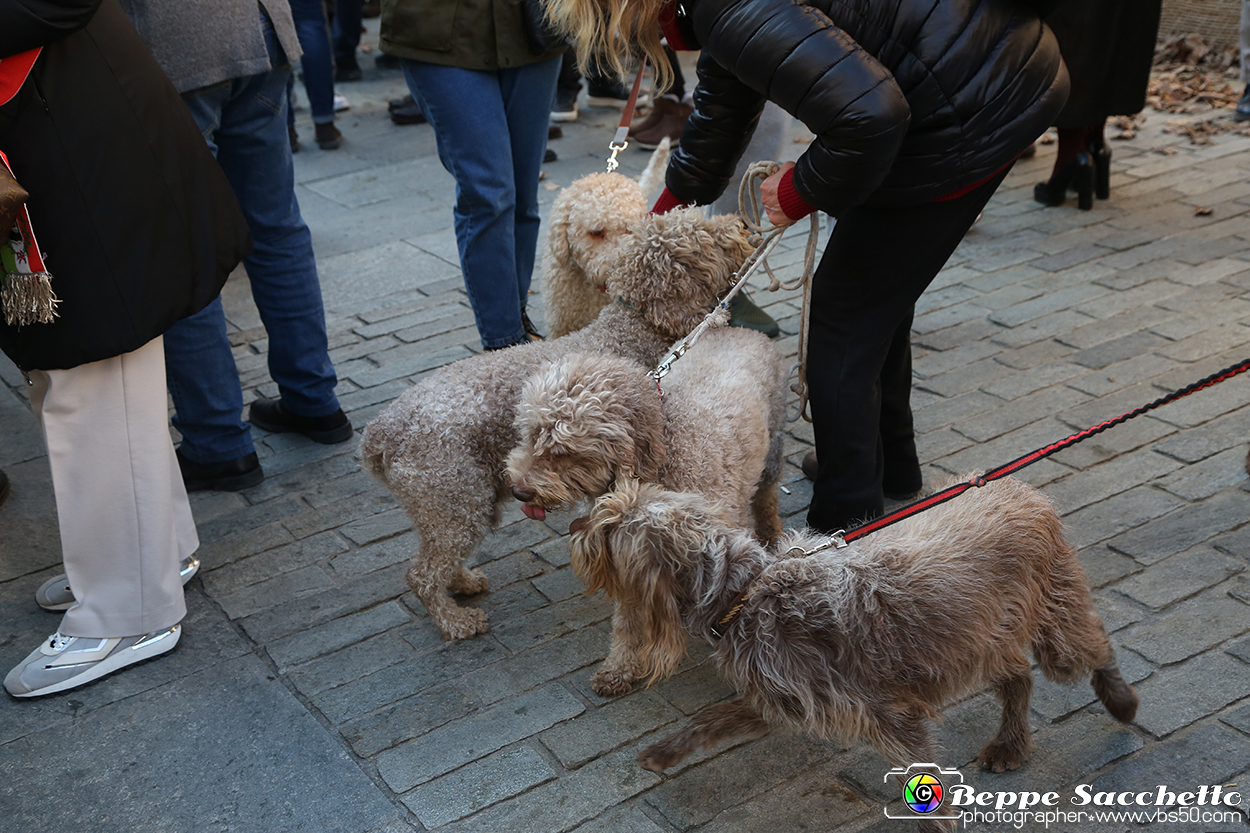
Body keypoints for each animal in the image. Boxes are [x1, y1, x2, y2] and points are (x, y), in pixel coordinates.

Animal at [362, 206, 750, 635]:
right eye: (703, 235)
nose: (744, 223)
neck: (631, 329)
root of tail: (382, 430)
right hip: (452, 498)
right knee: (423, 573)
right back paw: (457, 621)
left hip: (447, 506)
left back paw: (462, 582)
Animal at [505, 325, 780, 695]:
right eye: (531, 434)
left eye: (562, 451)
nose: (519, 492)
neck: (662, 448)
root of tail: (735, 327)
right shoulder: (625, 547)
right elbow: (628, 617)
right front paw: (619, 667)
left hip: (773, 451)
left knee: (766, 498)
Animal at [572, 472, 1140, 825]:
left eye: (611, 528)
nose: (577, 524)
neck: (747, 591)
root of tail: (1015, 485)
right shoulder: (787, 698)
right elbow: (713, 720)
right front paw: (667, 751)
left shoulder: (888, 715)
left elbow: (922, 781)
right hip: (980, 636)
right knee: (1018, 674)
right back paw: (1011, 742)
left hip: (1051, 619)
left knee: (1094, 647)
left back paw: (1120, 700)